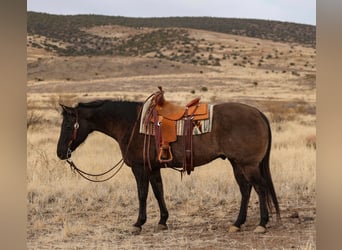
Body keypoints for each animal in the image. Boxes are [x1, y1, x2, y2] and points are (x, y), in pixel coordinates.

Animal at [56, 96, 280, 233]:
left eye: (67, 125)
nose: (60, 153)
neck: (131, 124)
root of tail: (258, 113)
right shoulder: (154, 168)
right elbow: (158, 192)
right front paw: (163, 220)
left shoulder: (140, 168)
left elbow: (142, 194)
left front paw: (138, 223)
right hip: (237, 164)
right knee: (246, 189)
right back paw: (237, 223)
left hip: (248, 164)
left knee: (260, 188)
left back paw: (262, 223)